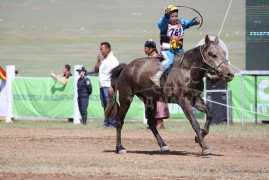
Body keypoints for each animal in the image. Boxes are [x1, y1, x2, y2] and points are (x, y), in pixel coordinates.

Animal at [105, 35, 233, 155]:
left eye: (224, 53)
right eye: (213, 55)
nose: (229, 74)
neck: (188, 70)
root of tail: (126, 67)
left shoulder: (195, 99)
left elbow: (210, 113)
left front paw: (199, 137)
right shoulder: (183, 101)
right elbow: (194, 123)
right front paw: (204, 147)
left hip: (149, 100)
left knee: (151, 123)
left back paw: (163, 145)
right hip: (126, 99)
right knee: (119, 121)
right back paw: (120, 147)